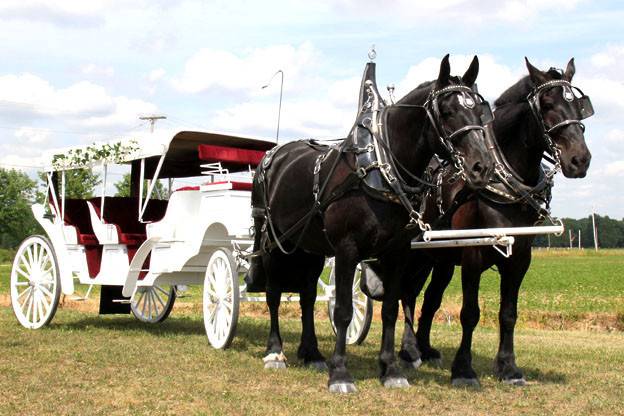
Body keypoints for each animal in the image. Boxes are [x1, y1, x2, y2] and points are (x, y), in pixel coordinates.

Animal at [249, 56, 498, 394]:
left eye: (479, 110)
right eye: (447, 112)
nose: (481, 167)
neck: (381, 167)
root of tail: (272, 155)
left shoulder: (398, 253)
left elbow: (390, 309)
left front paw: (390, 369)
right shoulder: (346, 249)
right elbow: (342, 311)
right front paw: (340, 373)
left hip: (310, 249)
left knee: (307, 296)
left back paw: (312, 353)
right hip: (274, 244)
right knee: (274, 293)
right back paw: (275, 351)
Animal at [400, 57, 596, 386]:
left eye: (579, 106)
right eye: (546, 103)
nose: (579, 160)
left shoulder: (520, 257)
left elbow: (509, 313)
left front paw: (508, 367)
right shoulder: (472, 254)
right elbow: (470, 313)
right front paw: (463, 369)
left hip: (440, 261)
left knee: (430, 299)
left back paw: (424, 349)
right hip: (414, 257)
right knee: (407, 295)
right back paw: (408, 351)